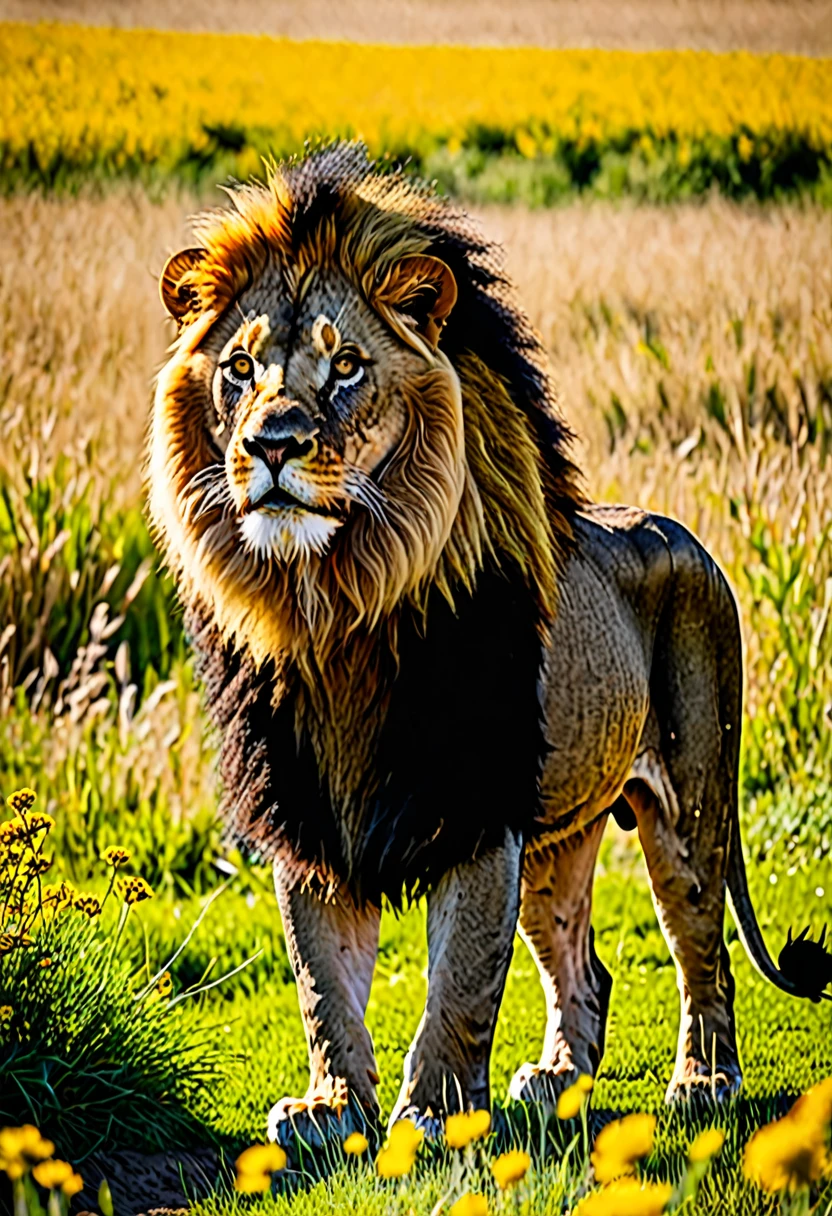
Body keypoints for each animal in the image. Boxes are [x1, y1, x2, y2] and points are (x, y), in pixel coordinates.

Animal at [147, 144, 827, 1147]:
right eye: (239, 367)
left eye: (345, 366)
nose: (271, 442)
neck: (333, 608)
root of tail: (687, 535)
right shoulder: (309, 817)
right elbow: (321, 981)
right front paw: (332, 1109)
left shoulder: (476, 809)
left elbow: (461, 980)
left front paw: (431, 1114)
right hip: (561, 832)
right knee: (586, 966)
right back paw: (556, 1079)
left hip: (691, 803)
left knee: (702, 952)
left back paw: (704, 1082)